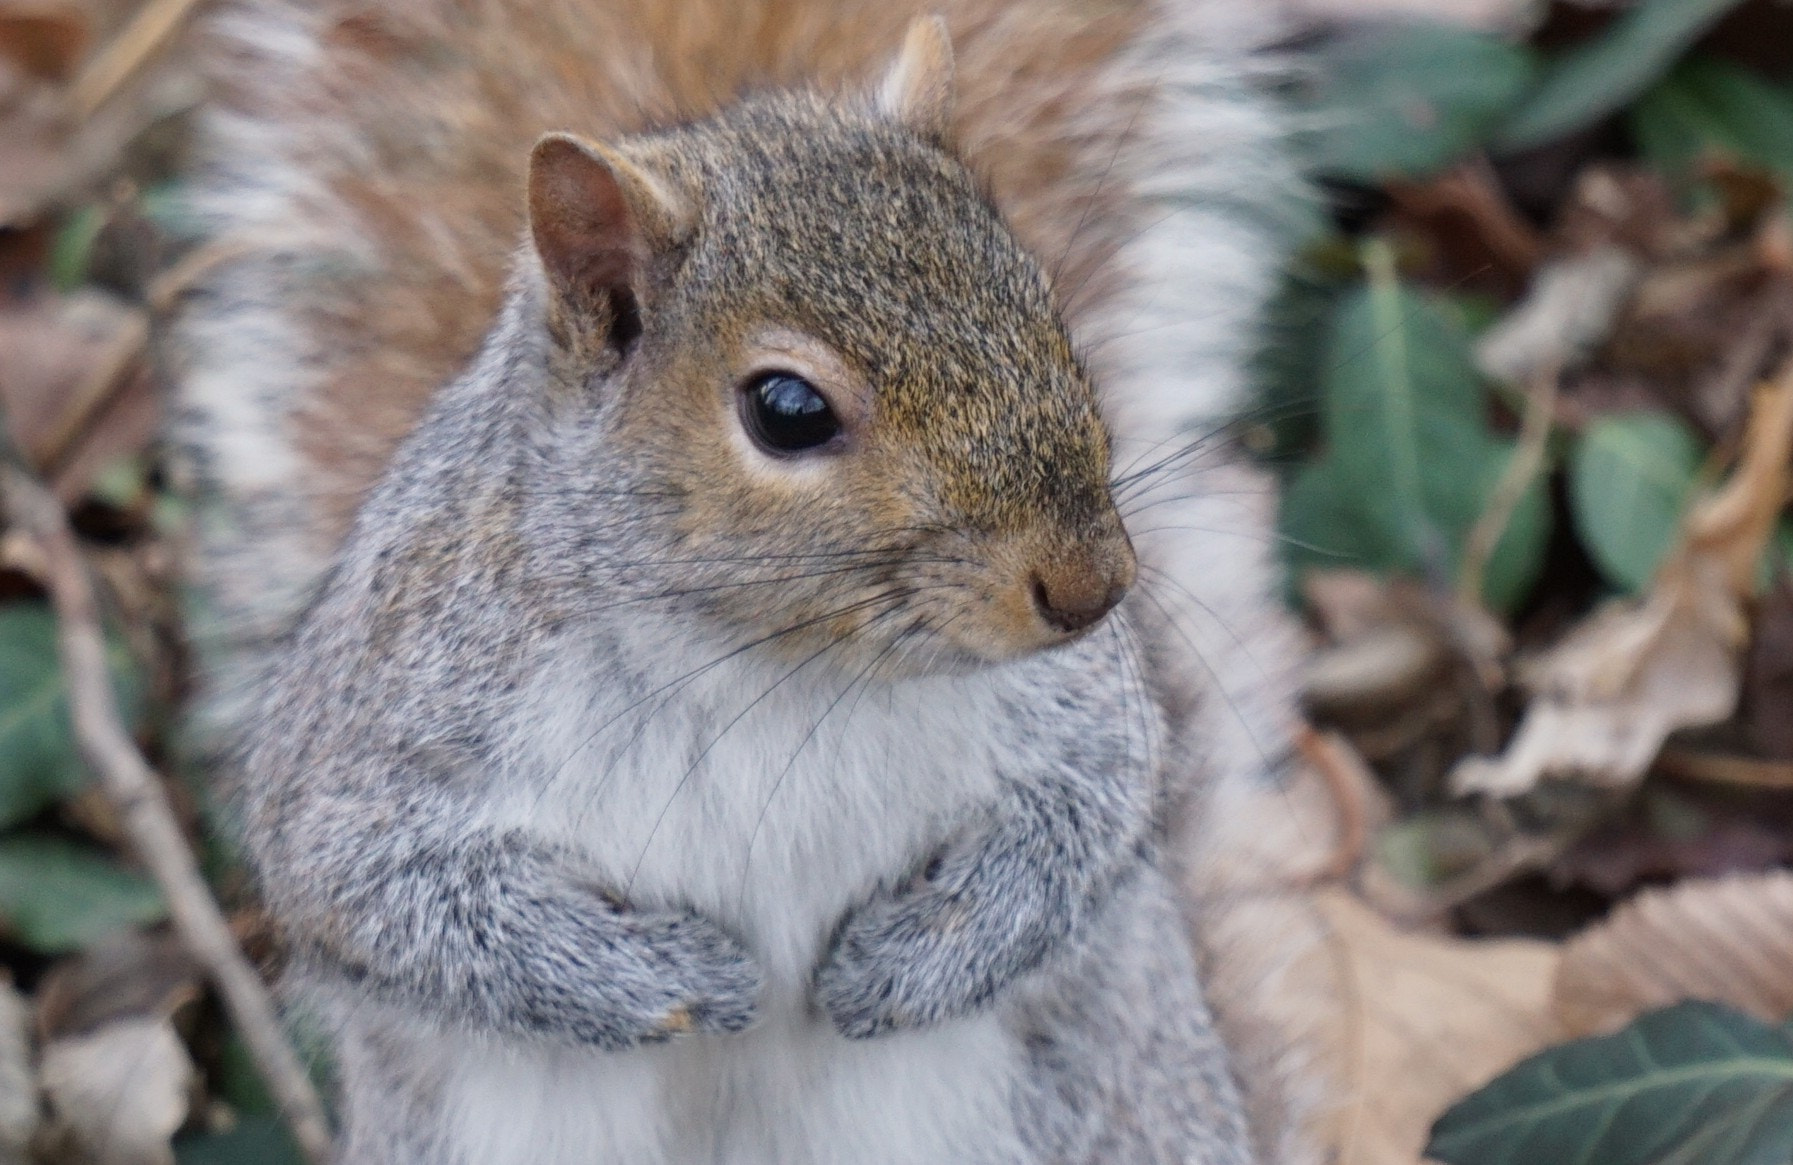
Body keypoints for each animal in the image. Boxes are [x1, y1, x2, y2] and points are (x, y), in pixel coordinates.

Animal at [171, 0, 1319, 1154]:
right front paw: (674, 976)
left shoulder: (1077, 712)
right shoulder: (387, 720)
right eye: (787, 410)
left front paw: (909, 959)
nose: (1091, 589)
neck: (773, 659)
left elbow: (1092, 818)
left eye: (1043, 305)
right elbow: (370, 890)